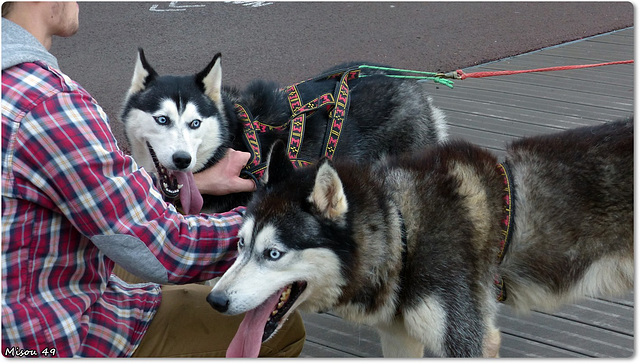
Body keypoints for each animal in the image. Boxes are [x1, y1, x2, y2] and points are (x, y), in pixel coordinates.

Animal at [208, 118, 632, 356]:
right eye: (241, 244)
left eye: (273, 253)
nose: (214, 301)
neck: (403, 232)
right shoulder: (399, 340)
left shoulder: (469, 342)